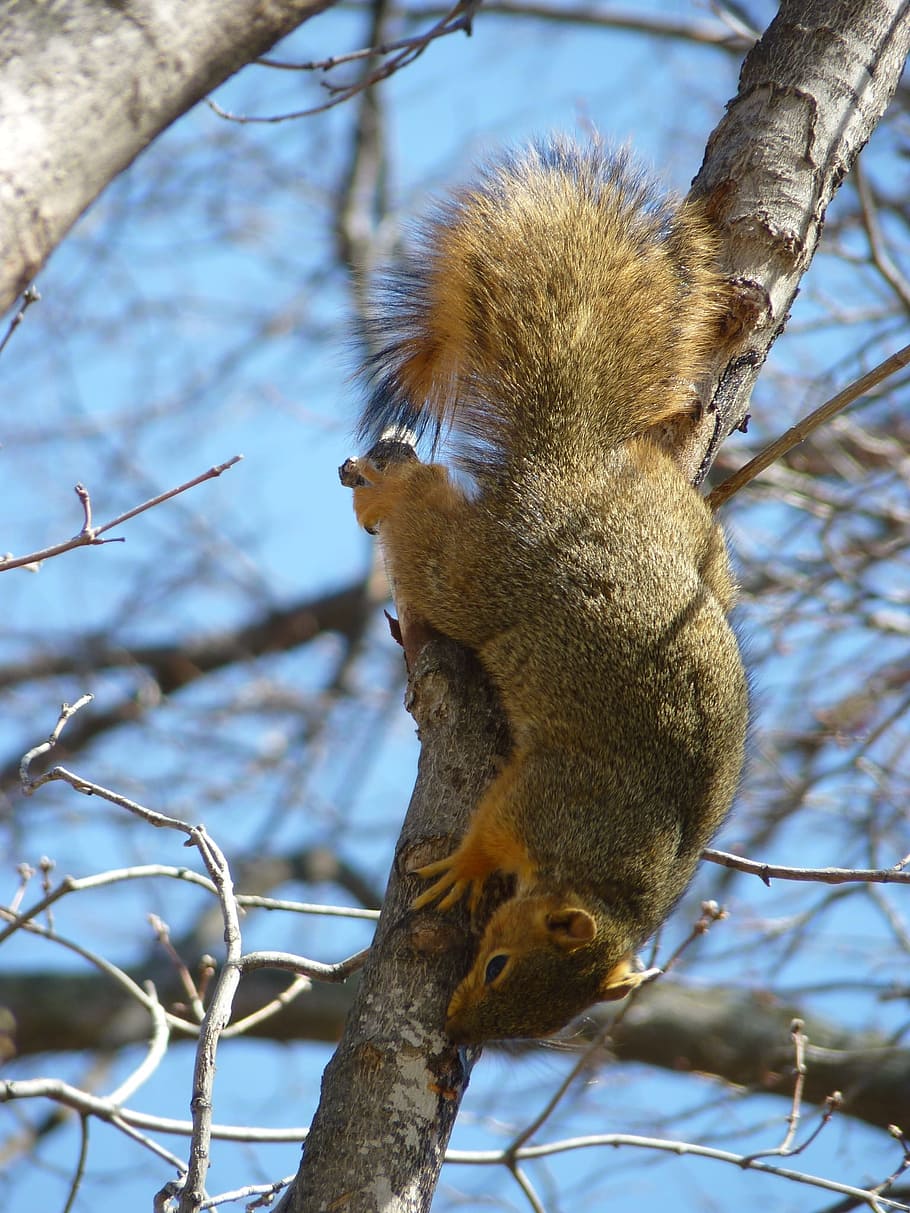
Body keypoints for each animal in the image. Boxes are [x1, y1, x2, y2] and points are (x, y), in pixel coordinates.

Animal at [341, 140, 748, 1045]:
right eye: (494, 963)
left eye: (535, 1027)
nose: (460, 1025)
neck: (609, 879)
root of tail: (574, 469)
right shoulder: (545, 798)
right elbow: (491, 827)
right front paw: (464, 866)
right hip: (482, 573)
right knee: (429, 535)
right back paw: (389, 494)